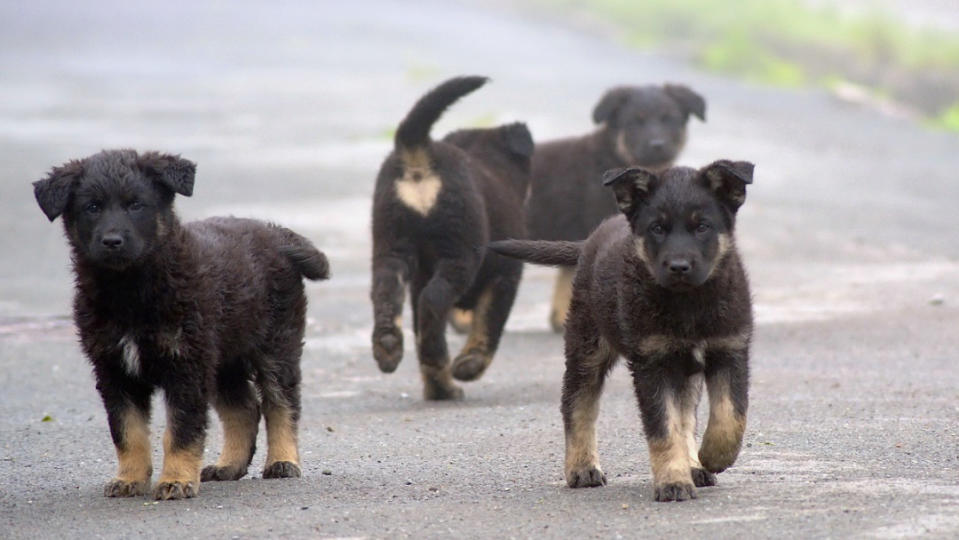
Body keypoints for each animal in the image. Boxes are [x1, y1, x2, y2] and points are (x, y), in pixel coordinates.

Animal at [32, 149, 330, 502]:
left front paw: (176, 480)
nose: (112, 241)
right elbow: (127, 432)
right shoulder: (113, 370)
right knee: (244, 409)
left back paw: (283, 461)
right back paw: (229, 465)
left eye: (136, 205)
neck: (130, 291)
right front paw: (129, 479)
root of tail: (276, 234)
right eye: (92, 207)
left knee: (281, 403)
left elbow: (181, 430)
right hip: (223, 358)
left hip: (275, 345)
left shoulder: (185, 365)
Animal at [370, 76, 532, 398]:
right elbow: (489, 325)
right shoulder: (506, 275)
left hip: (390, 244)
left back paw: (389, 347)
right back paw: (440, 362)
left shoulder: (419, 276)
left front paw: (438, 387)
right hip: (459, 251)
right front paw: (469, 366)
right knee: (434, 301)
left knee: (388, 291)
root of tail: (419, 152)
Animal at [492, 160, 752, 502]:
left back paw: (694, 464)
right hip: (587, 347)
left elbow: (730, 415)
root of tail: (589, 241)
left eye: (702, 227)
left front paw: (711, 457)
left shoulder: (730, 349)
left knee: (686, 415)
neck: (688, 304)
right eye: (657, 228)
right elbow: (663, 428)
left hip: (682, 371)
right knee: (578, 404)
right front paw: (673, 482)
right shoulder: (651, 363)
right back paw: (582, 468)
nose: (679, 267)